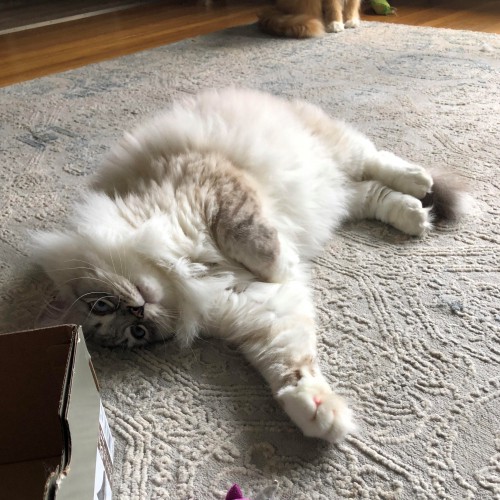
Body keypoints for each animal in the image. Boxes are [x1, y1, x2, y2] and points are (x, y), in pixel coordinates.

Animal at [32, 87, 468, 442]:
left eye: (102, 305)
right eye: (136, 334)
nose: (139, 310)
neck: (185, 272)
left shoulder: (217, 194)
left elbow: (254, 240)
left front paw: (284, 261)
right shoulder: (253, 304)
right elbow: (288, 364)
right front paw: (316, 413)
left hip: (338, 150)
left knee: (379, 162)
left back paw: (419, 182)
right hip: (342, 196)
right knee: (373, 194)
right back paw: (414, 215)